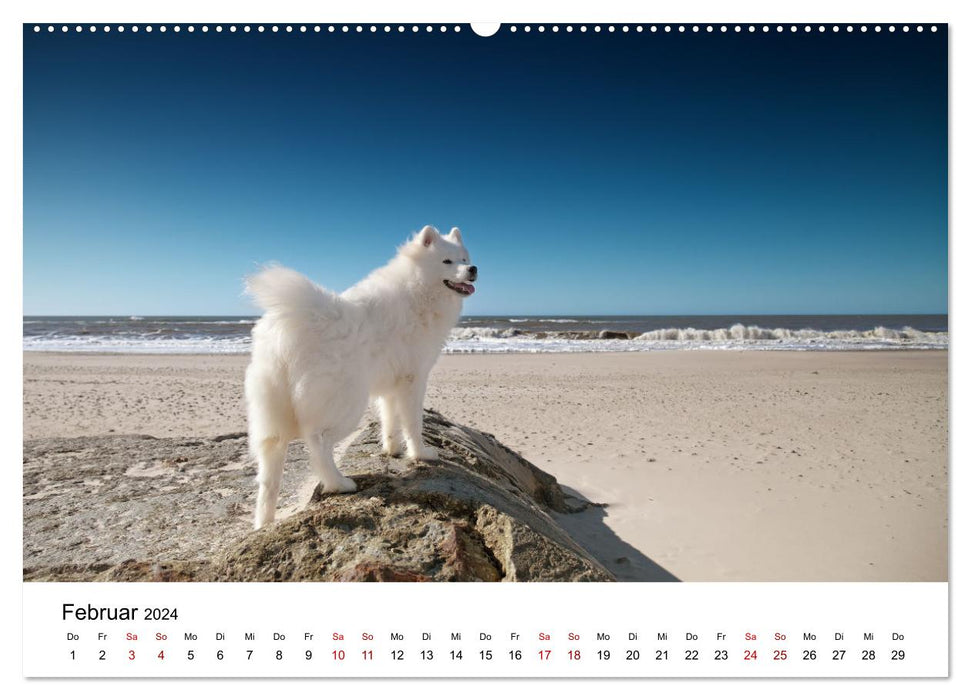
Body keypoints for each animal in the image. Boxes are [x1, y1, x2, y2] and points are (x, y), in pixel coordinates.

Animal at [245, 227, 476, 528]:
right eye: (447, 261)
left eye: (465, 259)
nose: (473, 269)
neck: (418, 289)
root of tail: (293, 323)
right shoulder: (414, 379)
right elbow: (413, 423)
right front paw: (421, 454)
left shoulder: (391, 385)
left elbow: (390, 420)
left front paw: (392, 450)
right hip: (346, 403)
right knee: (317, 442)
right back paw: (339, 483)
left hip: (274, 414)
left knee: (269, 471)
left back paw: (265, 520)